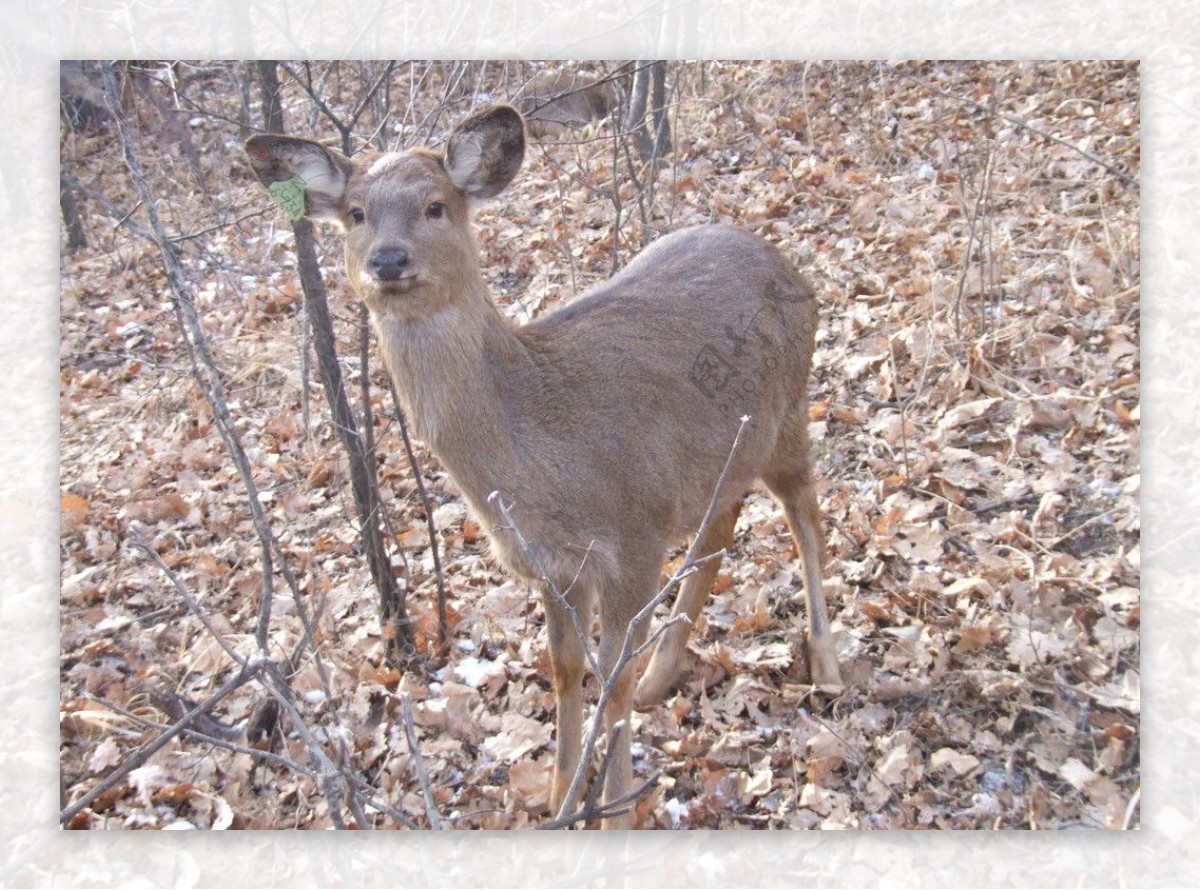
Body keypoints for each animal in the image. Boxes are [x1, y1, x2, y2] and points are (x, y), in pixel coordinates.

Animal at [244, 106, 844, 834]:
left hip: (789, 411)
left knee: (806, 516)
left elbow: (610, 676)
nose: (388, 259)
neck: (542, 450)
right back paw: (664, 676)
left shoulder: (635, 535)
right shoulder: (556, 566)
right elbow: (564, 670)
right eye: (356, 213)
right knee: (722, 525)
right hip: (722, 456)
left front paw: (616, 813)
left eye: (436, 205)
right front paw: (560, 798)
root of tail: (789, 265)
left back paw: (828, 667)